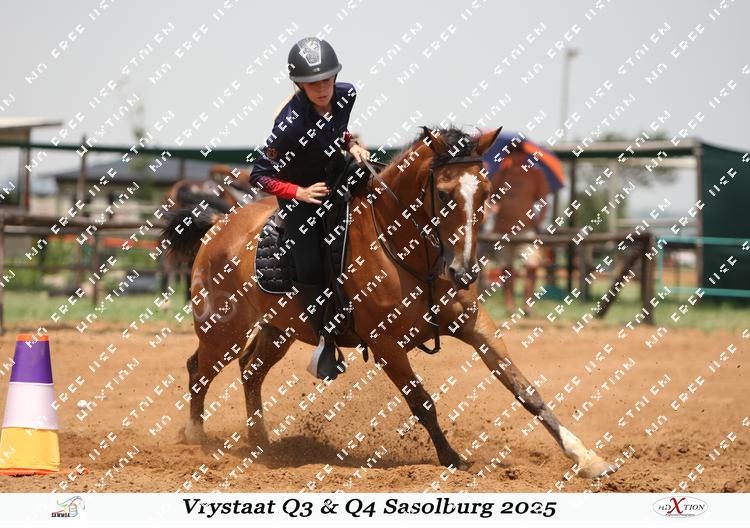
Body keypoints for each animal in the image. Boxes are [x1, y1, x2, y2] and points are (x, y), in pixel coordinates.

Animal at [162, 126, 617, 479]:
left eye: (487, 191)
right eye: (444, 194)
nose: (465, 271)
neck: (406, 250)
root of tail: (216, 226)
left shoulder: (475, 324)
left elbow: (524, 389)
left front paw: (587, 458)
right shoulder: (385, 345)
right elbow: (422, 401)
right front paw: (452, 459)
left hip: (279, 330)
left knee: (250, 371)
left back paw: (262, 444)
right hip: (222, 329)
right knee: (198, 370)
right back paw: (195, 439)